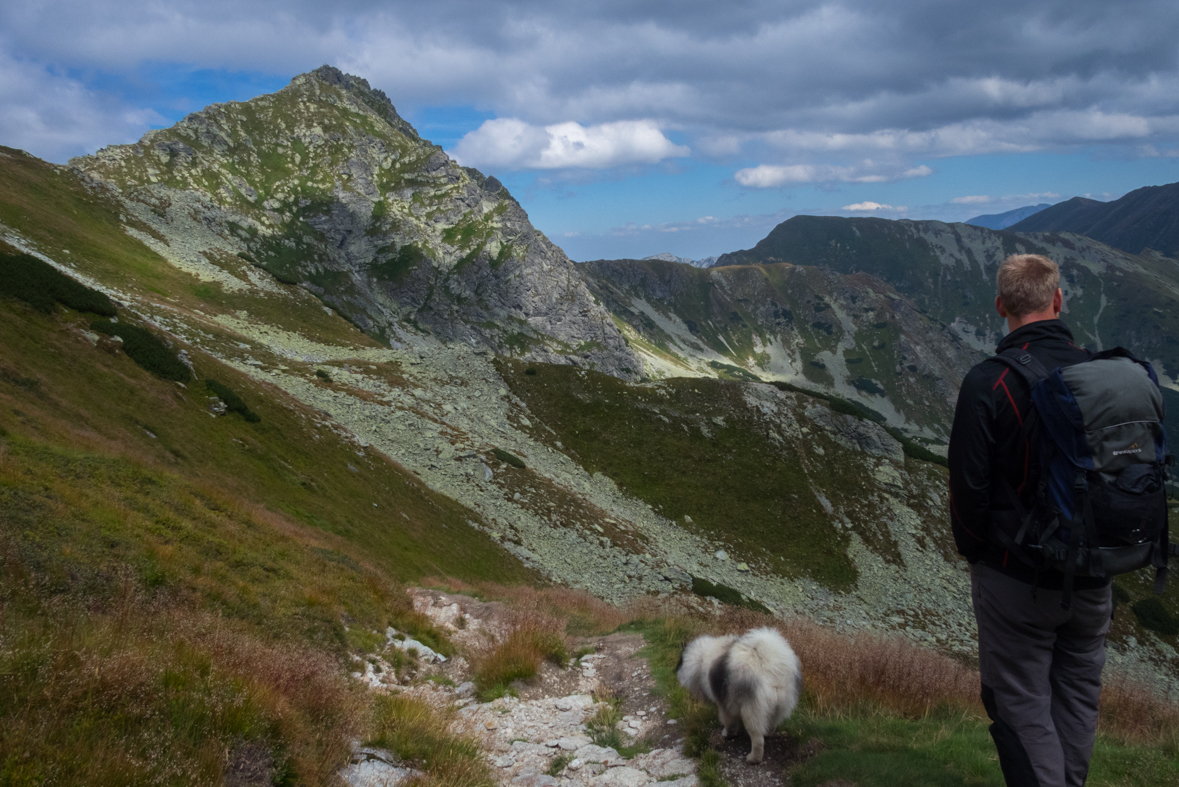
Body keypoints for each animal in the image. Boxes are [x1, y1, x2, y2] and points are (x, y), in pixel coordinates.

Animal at [679, 626, 806, 763]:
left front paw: (727, 734)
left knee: (757, 739)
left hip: (752, 708)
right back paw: (767, 733)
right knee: (772, 724)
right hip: (780, 705)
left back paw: (753, 758)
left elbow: (728, 722)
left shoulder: (723, 704)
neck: (700, 659)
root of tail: (770, 665)